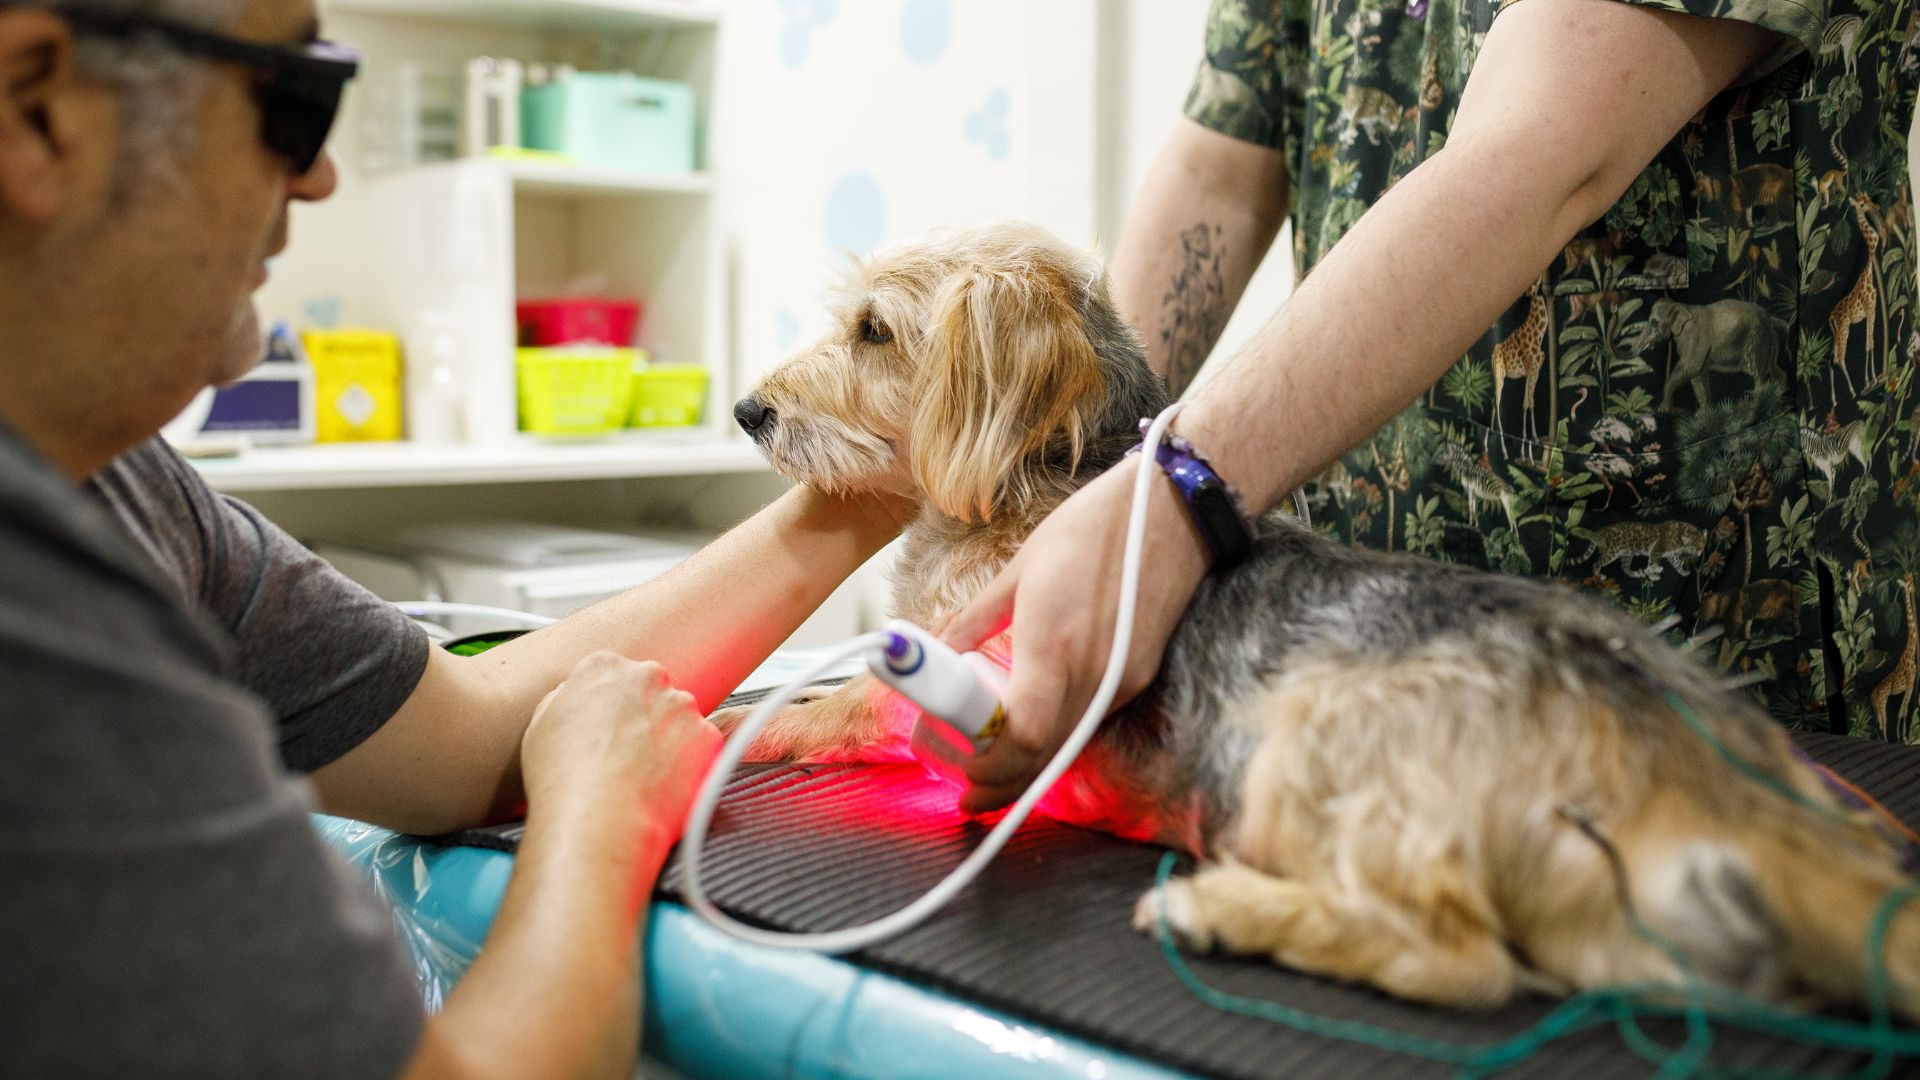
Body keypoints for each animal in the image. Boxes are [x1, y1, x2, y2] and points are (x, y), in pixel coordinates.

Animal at [721, 220, 1920, 1014]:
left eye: (874, 331)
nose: (746, 409)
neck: (1043, 481)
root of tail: (1693, 747)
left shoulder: (978, 675)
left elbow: (847, 704)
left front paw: (750, 726)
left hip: (1304, 743)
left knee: (1465, 963)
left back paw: (1224, 911)